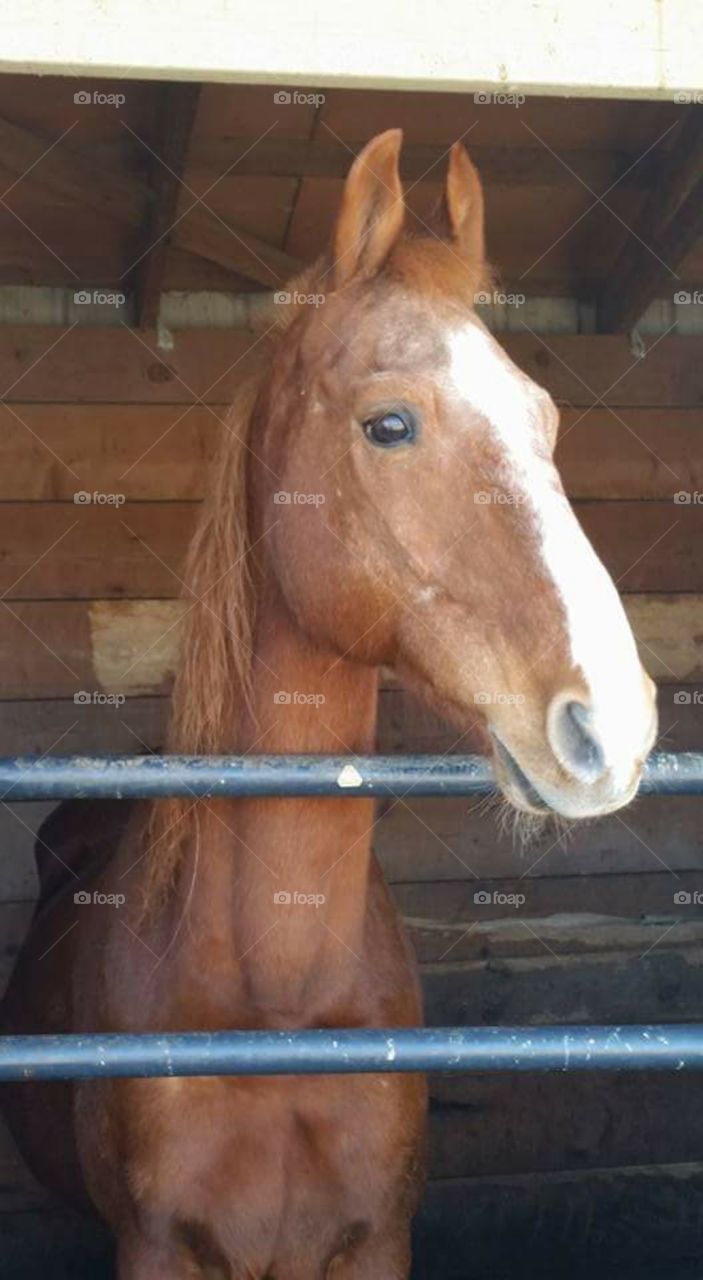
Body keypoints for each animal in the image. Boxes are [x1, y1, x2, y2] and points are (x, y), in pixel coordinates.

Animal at [1, 129, 657, 1279]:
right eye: (388, 423)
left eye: (544, 420)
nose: (611, 724)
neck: (283, 999)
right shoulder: (156, 1247)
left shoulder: (375, 1240)